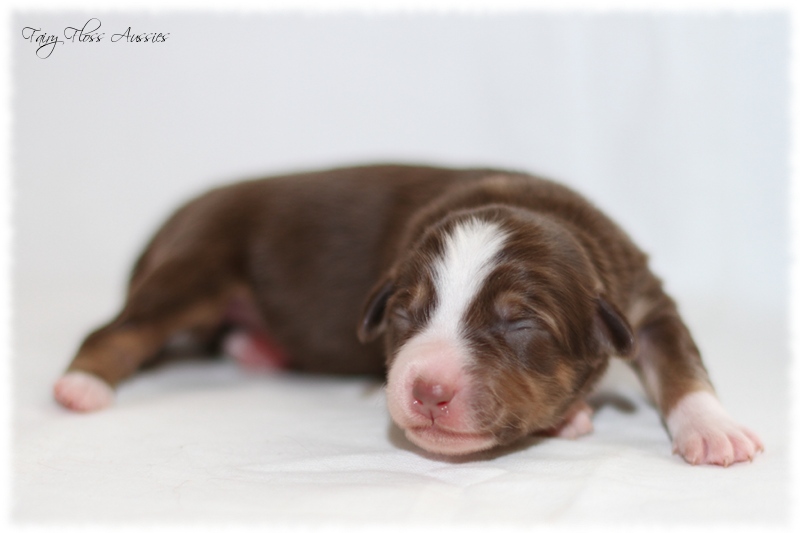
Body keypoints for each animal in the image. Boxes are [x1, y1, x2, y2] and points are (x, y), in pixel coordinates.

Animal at [53, 163, 764, 466]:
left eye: (521, 323)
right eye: (406, 315)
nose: (428, 389)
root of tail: (185, 208)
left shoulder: (643, 299)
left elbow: (680, 362)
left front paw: (713, 430)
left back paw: (258, 348)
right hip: (199, 263)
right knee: (120, 330)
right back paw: (81, 386)